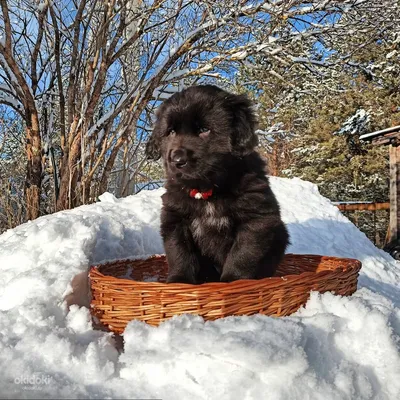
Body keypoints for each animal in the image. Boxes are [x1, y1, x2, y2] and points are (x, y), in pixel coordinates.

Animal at [145, 85, 290, 284]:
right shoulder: (175, 218)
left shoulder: (256, 218)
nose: (176, 159)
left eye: (204, 129)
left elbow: (242, 254)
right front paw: (178, 281)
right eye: (171, 132)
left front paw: (232, 281)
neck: (208, 189)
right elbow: (179, 252)